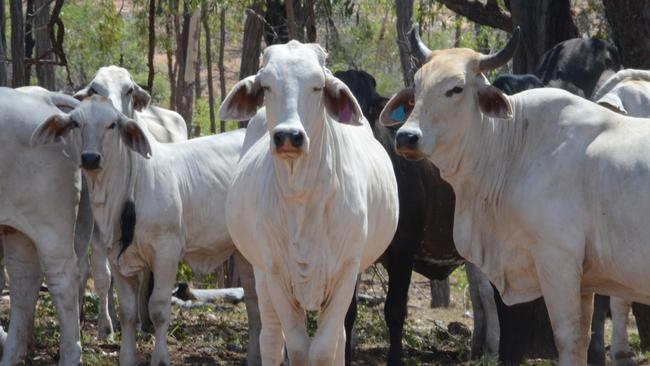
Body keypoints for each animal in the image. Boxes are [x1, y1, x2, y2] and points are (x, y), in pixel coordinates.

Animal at [0, 88, 81, 366]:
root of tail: (42, 97)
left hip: (51, 223)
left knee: (62, 280)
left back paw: (69, 356)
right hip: (16, 227)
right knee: (23, 280)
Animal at [32, 96, 260, 366]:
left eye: (112, 124)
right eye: (76, 123)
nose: (90, 158)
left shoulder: (167, 253)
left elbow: (158, 308)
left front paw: (160, 358)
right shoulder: (116, 259)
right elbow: (128, 312)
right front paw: (128, 357)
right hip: (244, 254)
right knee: (255, 302)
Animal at [220, 40, 398, 366]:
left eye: (317, 86)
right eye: (266, 86)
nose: (289, 136)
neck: (301, 199)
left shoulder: (346, 274)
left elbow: (326, 348)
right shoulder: (276, 275)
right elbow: (299, 349)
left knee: (339, 339)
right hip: (261, 273)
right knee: (271, 339)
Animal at [380, 24, 650, 364]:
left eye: (456, 88)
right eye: (416, 88)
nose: (407, 137)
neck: (514, 147)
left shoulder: (558, 261)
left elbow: (568, 339)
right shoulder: (584, 279)